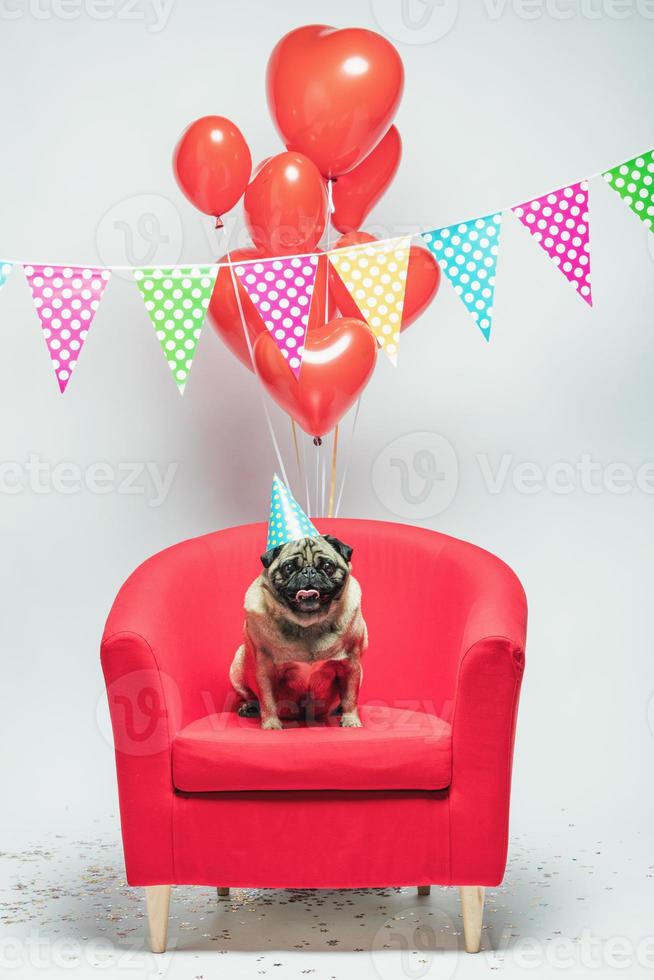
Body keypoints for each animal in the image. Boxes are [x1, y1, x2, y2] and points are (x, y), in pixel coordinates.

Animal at [231, 536, 366, 728]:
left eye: (327, 566)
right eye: (289, 568)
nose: (308, 571)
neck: (308, 624)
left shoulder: (351, 665)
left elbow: (350, 697)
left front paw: (351, 721)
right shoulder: (265, 669)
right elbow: (267, 699)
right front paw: (271, 725)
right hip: (237, 667)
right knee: (251, 696)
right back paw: (249, 707)